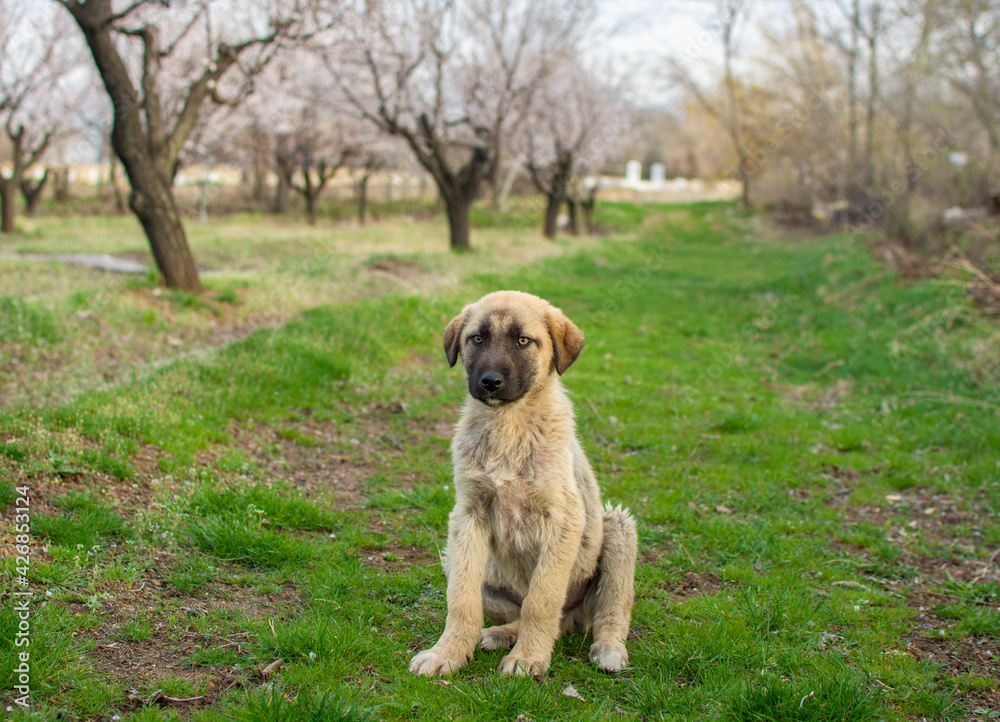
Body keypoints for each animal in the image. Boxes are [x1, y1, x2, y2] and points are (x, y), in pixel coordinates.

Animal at [408, 288, 636, 676]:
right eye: (477, 338)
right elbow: (462, 599)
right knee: (522, 612)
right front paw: (447, 653)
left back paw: (608, 648)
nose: (490, 382)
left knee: (606, 611)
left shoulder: (563, 520)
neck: (509, 425)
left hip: (618, 528)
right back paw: (501, 633)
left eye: (523, 341)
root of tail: (574, 618)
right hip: (454, 561)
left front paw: (528, 658)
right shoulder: (468, 515)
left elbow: (541, 599)